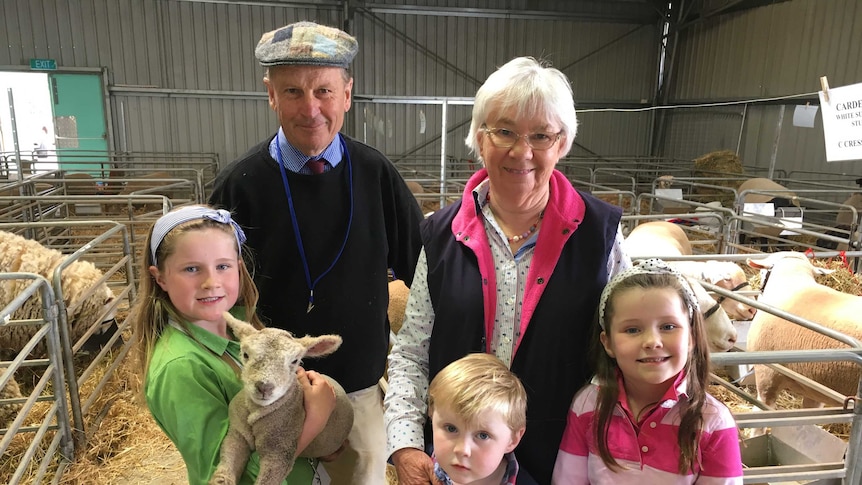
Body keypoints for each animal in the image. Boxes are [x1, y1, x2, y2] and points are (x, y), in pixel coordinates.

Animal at [209, 310, 354, 484]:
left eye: (295, 361)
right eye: (245, 354)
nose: (264, 387)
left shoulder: (280, 451)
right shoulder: (237, 433)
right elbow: (225, 469)